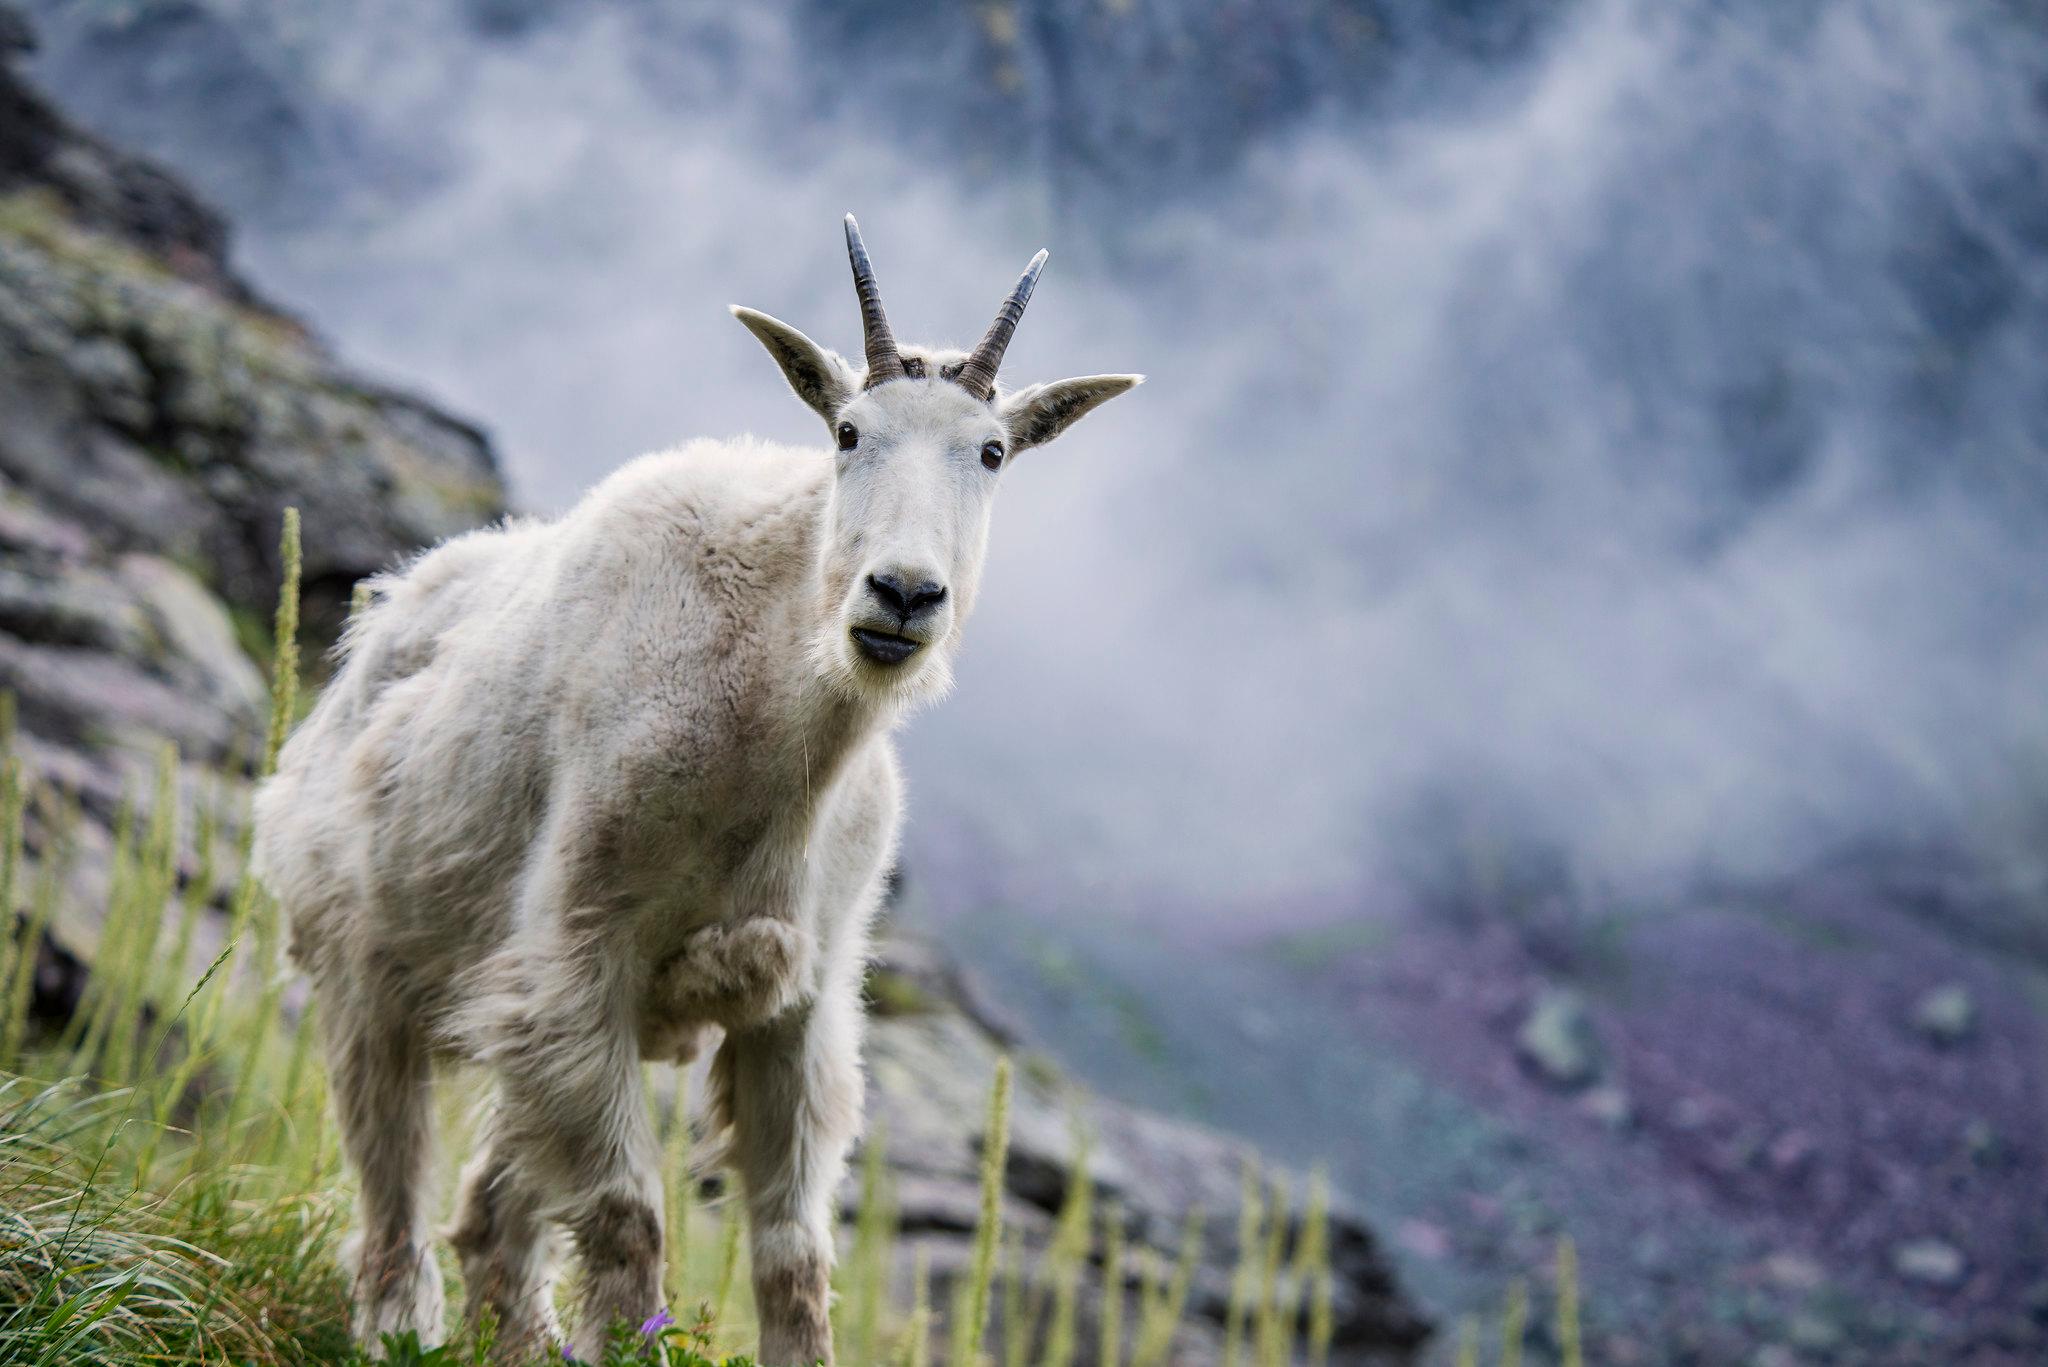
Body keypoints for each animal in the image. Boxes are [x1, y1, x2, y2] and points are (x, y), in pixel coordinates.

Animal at [253, 216, 1139, 1363]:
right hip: (366, 961)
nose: (902, 595)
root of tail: (376, 627)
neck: (773, 735)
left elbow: (794, 1255)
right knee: (394, 1176)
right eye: (847, 432)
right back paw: (398, 1322)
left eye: (991, 452)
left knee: (493, 1209)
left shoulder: (797, 1002)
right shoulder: (578, 952)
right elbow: (630, 1219)